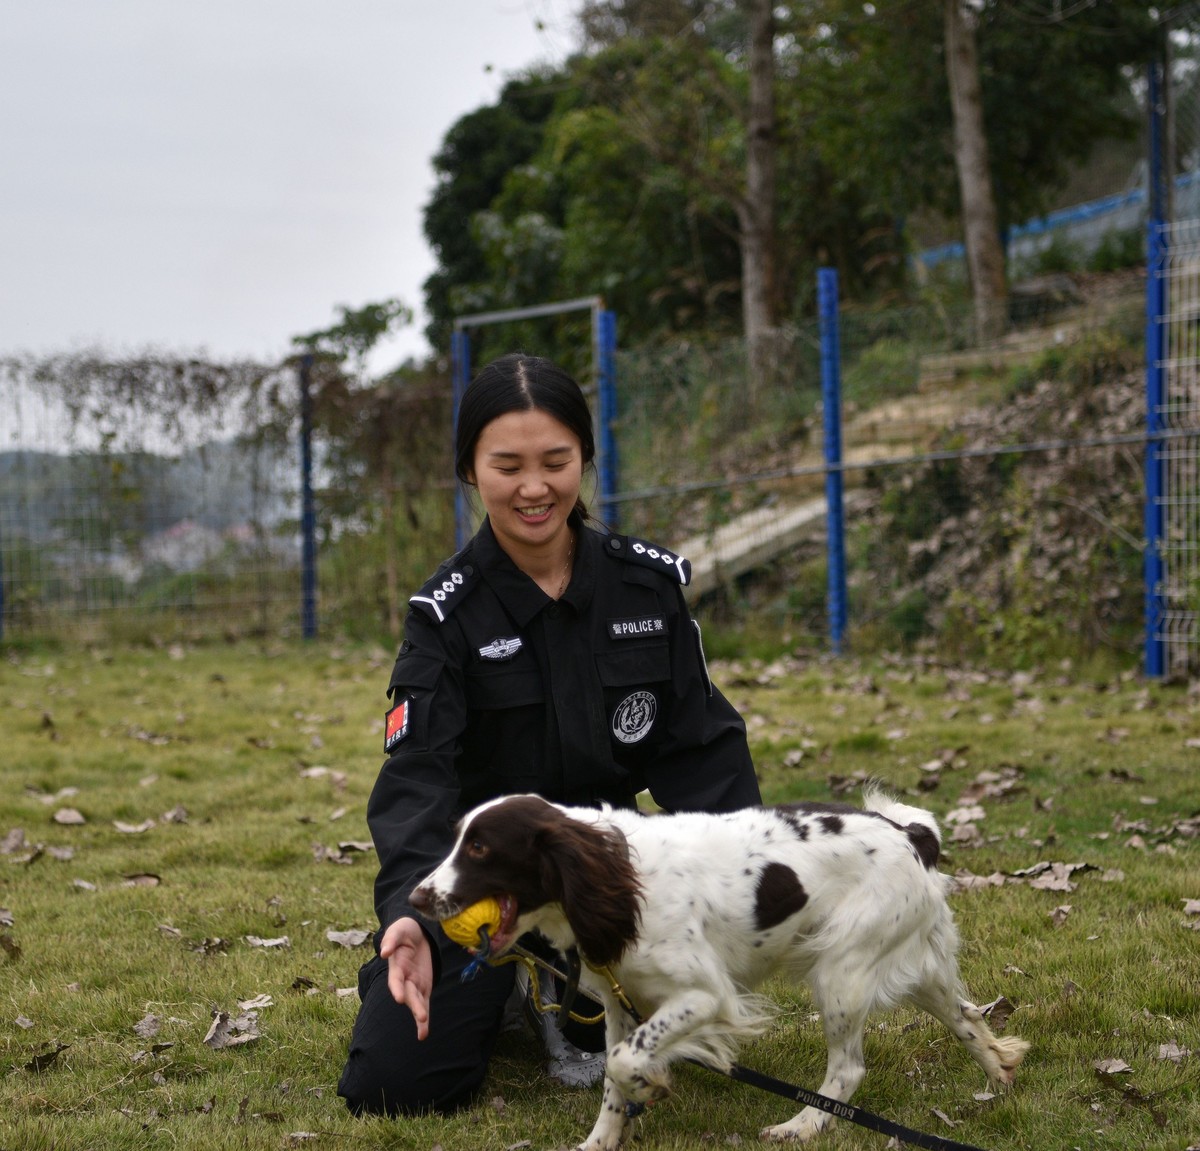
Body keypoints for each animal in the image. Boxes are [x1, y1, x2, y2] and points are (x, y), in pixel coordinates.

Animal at [412, 796, 1032, 1147]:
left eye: (481, 849)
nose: (416, 899)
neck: (615, 877)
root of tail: (908, 833)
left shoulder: (704, 996)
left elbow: (627, 1060)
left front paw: (650, 1085)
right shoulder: (618, 1003)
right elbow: (613, 1076)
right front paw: (602, 1141)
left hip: (840, 970)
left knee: (849, 1070)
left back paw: (801, 1127)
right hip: (910, 966)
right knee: (967, 1015)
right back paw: (999, 1075)